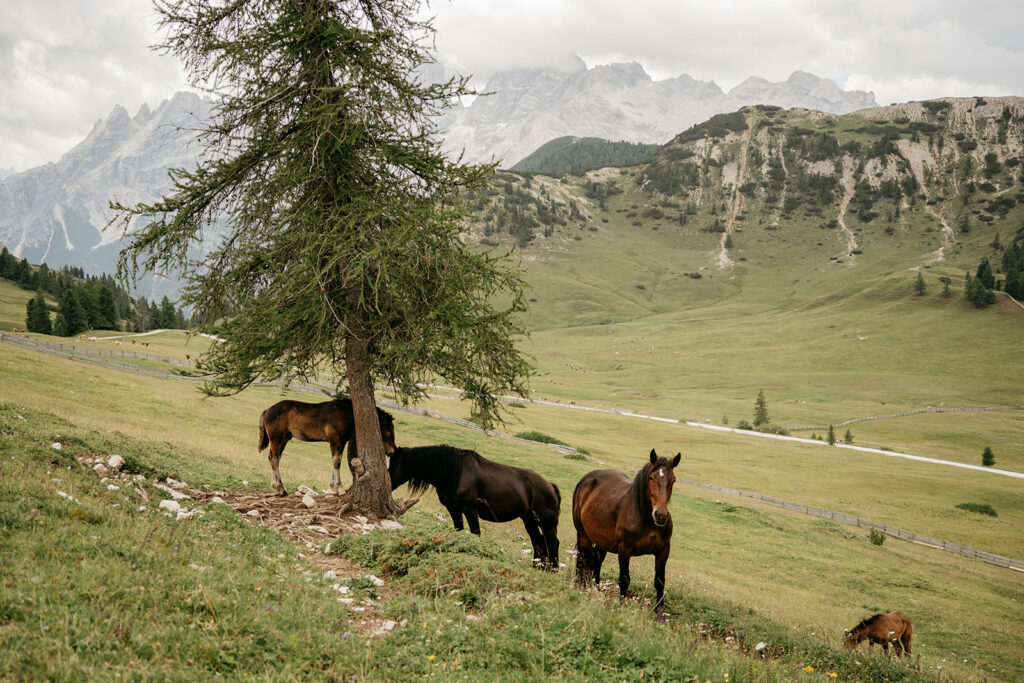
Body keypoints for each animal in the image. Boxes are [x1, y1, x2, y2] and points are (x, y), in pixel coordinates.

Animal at [257, 398, 396, 496]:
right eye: (389, 431)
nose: (391, 451)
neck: (346, 413)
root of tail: (267, 410)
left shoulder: (341, 441)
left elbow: (335, 460)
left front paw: (334, 487)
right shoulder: (335, 439)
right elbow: (336, 461)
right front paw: (339, 489)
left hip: (284, 439)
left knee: (273, 457)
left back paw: (277, 488)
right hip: (276, 439)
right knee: (274, 459)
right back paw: (280, 490)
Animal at [387, 445, 561, 569]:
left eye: (394, 465)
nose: (388, 484)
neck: (456, 473)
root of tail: (550, 486)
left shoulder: (470, 511)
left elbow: (475, 533)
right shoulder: (454, 510)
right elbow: (459, 530)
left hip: (545, 522)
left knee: (552, 542)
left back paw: (552, 569)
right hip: (529, 519)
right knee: (538, 541)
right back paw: (537, 567)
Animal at [572, 449, 681, 616]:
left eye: (673, 480)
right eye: (651, 478)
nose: (661, 516)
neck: (647, 520)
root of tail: (585, 480)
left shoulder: (663, 550)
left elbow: (659, 581)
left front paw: (659, 612)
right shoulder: (624, 550)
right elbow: (624, 579)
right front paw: (622, 606)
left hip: (603, 542)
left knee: (596, 562)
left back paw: (596, 590)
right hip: (583, 535)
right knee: (584, 561)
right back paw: (582, 586)